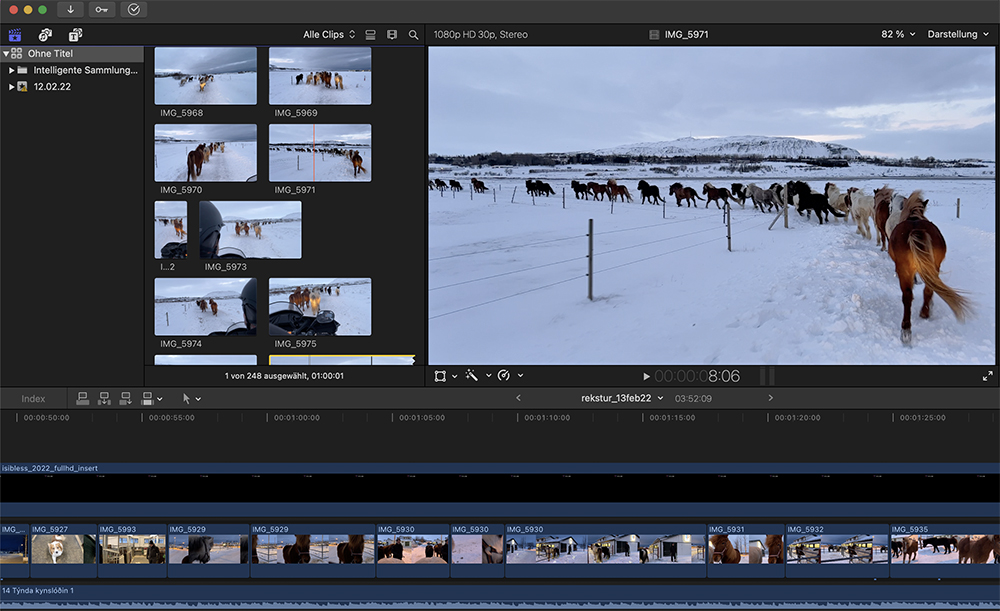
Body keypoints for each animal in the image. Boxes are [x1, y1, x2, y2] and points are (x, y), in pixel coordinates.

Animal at [888, 191, 972, 344]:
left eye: (890, 205)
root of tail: (915, 229)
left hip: (905, 270)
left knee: (907, 296)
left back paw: (906, 330)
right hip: (934, 267)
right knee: (928, 289)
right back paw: (925, 312)